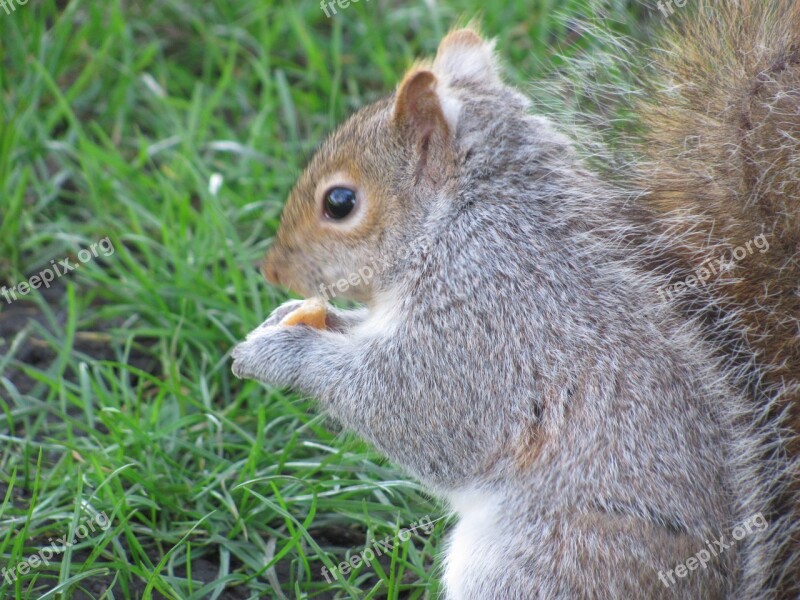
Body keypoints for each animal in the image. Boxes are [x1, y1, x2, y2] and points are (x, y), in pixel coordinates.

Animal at [230, 2, 800, 596]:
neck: (457, 225)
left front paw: (278, 355)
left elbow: (415, 408)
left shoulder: (492, 319)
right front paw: (284, 320)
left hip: (540, 563)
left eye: (339, 202)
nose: (271, 271)